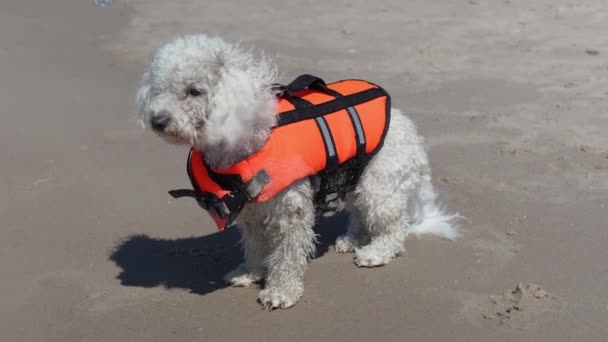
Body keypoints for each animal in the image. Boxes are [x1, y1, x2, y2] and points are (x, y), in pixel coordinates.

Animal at [137, 34, 460, 310]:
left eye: (194, 91)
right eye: (158, 89)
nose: (157, 121)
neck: (247, 140)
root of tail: (413, 136)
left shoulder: (290, 213)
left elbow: (287, 255)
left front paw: (281, 291)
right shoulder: (251, 214)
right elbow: (255, 246)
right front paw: (250, 272)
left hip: (379, 185)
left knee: (393, 227)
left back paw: (376, 252)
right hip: (354, 179)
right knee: (359, 214)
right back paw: (352, 239)